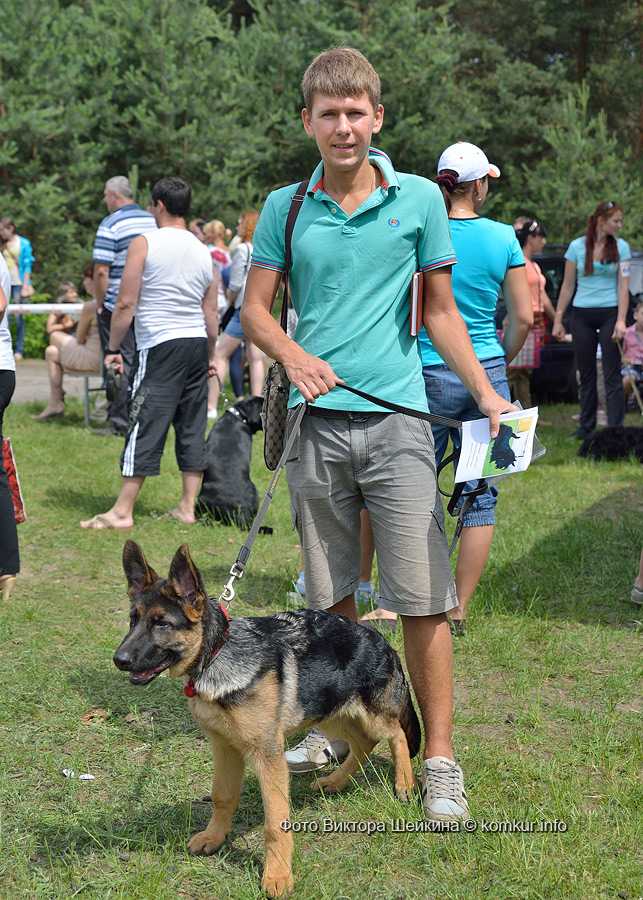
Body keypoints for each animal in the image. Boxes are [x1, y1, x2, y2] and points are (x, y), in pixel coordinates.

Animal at [113, 541, 421, 898]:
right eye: (132, 621)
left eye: (162, 623)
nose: (118, 660)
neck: (217, 654)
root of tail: (380, 639)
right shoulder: (225, 747)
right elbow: (222, 796)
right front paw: (214, 838)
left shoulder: (268, 756)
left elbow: (275, 823)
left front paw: (278, 875)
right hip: (328, 711)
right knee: (364, 743)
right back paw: (335, 781)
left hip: (366, 714)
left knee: (396, 734)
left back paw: (404, 784)